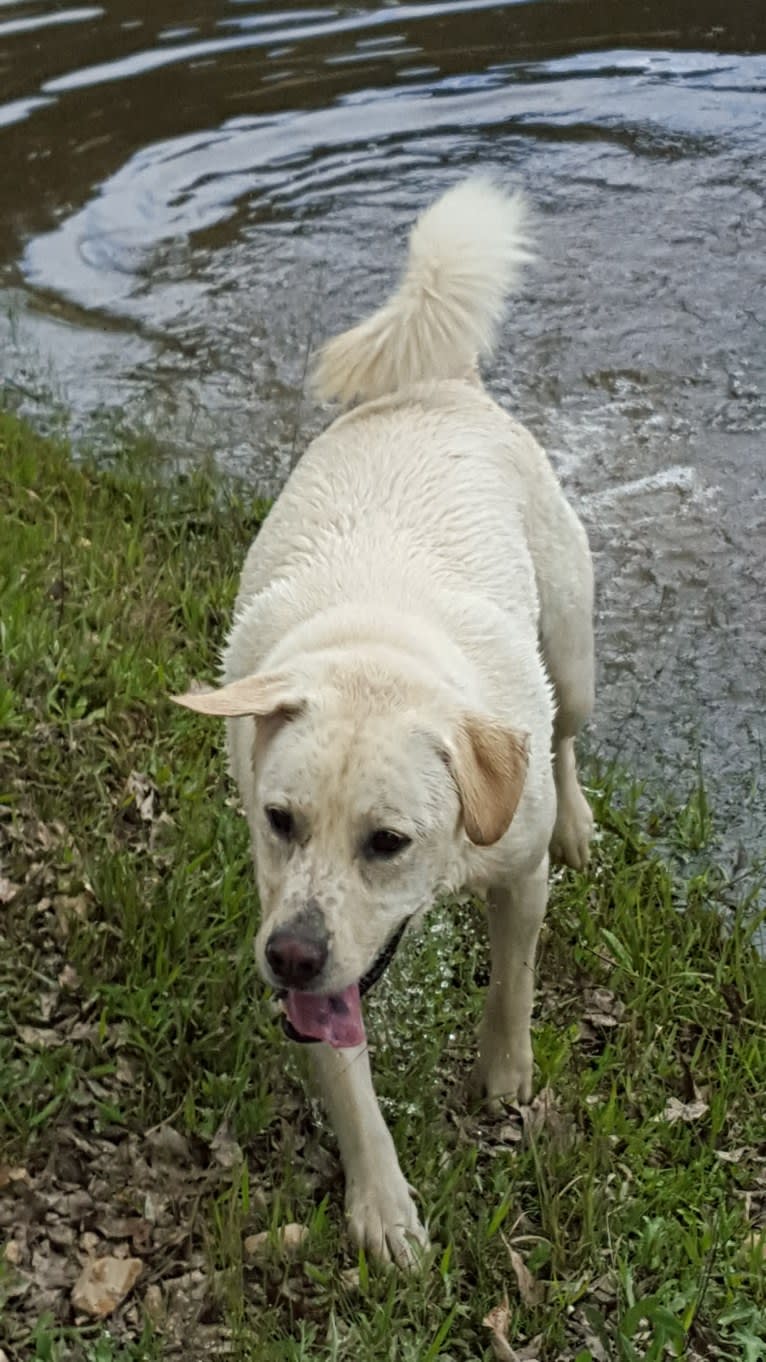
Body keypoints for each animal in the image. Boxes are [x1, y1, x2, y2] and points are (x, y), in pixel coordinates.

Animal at [175, 181, 594, 1263]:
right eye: (279, 821)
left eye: (388, 841)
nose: (288, 955)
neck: (381, 652)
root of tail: (441, 383)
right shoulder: (288, 913)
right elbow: (343, 1073)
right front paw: (383, 1205)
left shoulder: (515, 876)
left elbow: (512, 981)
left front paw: (503, 1078)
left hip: (572, 647)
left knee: (567, 732)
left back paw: (579, 820)